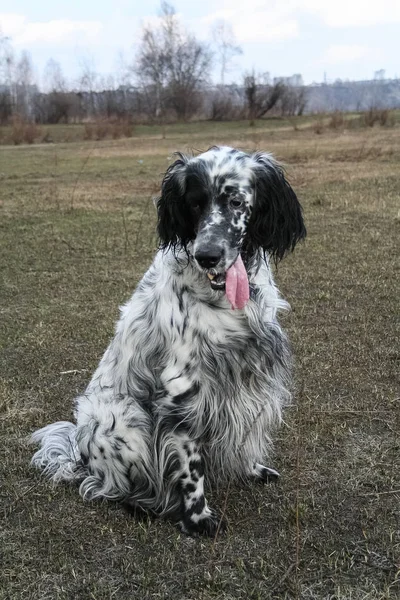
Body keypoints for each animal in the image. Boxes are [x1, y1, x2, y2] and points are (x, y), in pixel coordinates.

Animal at [31, 145, 306, 536]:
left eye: (236, 202)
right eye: (194, 204)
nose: (207, 255)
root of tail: (80, 455)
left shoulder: (250, 374)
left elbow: (246, 430)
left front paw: (250, 470)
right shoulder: (183, 391)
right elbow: (191, 468)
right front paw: (198, 518)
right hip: (126, 419)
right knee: (110, 487)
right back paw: (143, 504)